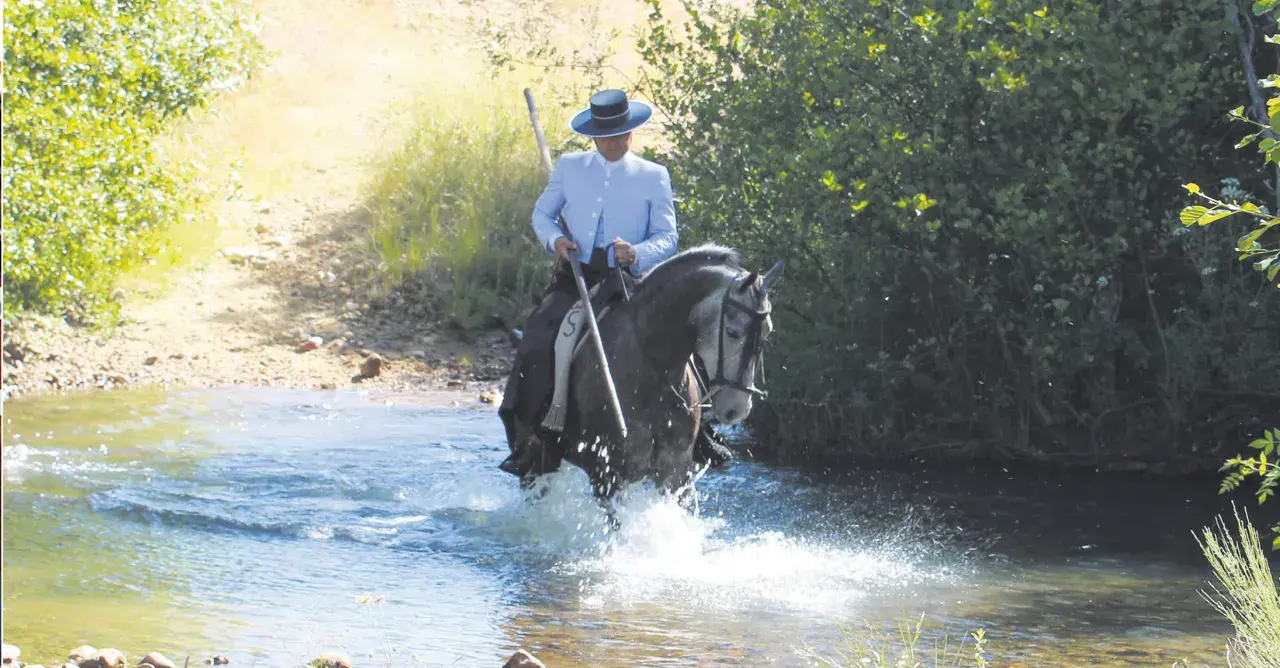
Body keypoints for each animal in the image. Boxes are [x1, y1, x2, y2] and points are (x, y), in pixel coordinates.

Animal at [517, 243, 782, 511]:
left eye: (768, 331)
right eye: (732, 332)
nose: (737, 409)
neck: (654, 376)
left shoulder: (675, 473)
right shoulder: (607, 474)